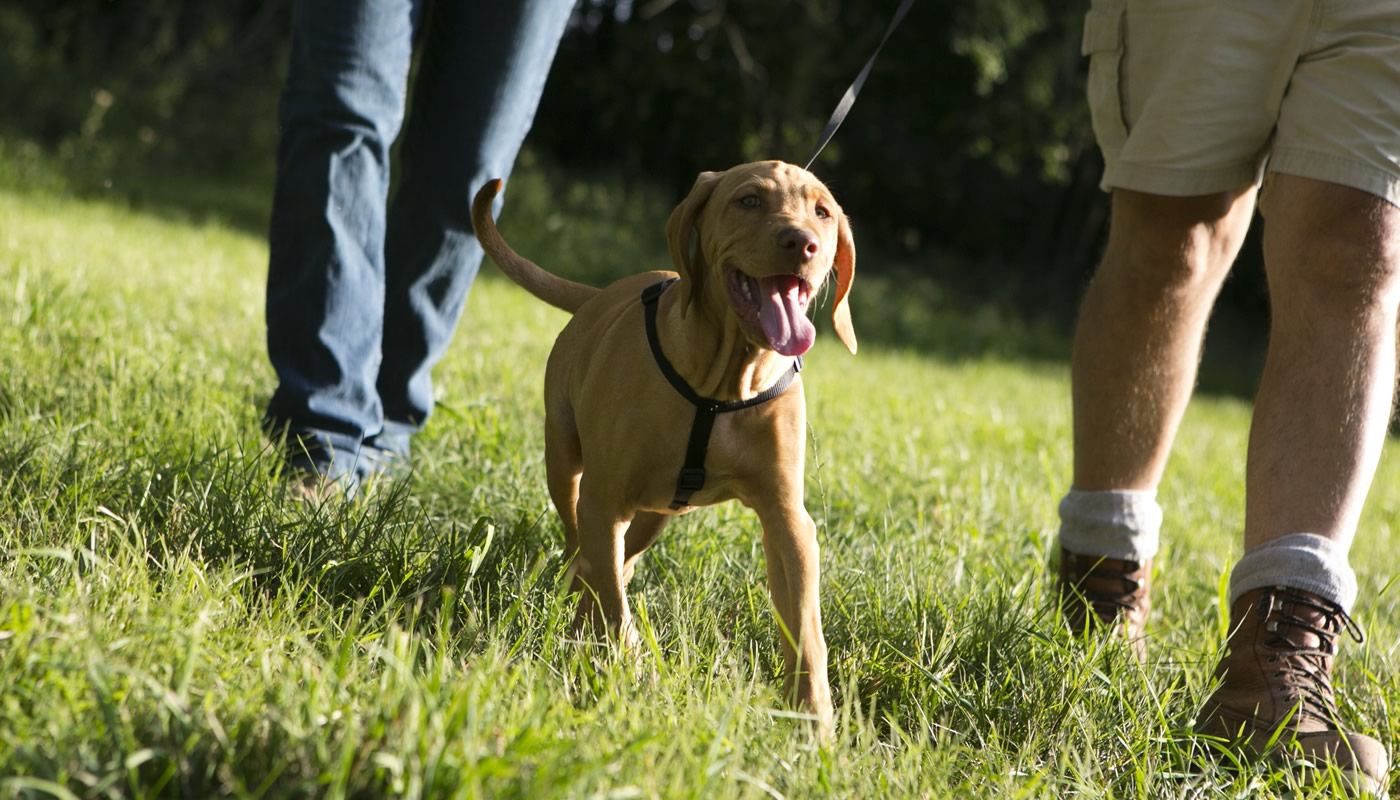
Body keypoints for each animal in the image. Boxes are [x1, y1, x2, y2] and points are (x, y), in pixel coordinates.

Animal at [476, 159, 856, 728]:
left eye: (823, 212)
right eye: (749, 201)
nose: (803, 243)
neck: (722, 385)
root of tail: (599, 295)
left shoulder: (788, 518)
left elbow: (806, 629)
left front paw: (814, 722)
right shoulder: (604, 499)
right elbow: (615, 607)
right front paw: (637, 677)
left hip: (658, 511)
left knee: (617, 559)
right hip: (565, 464)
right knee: (583, 549)